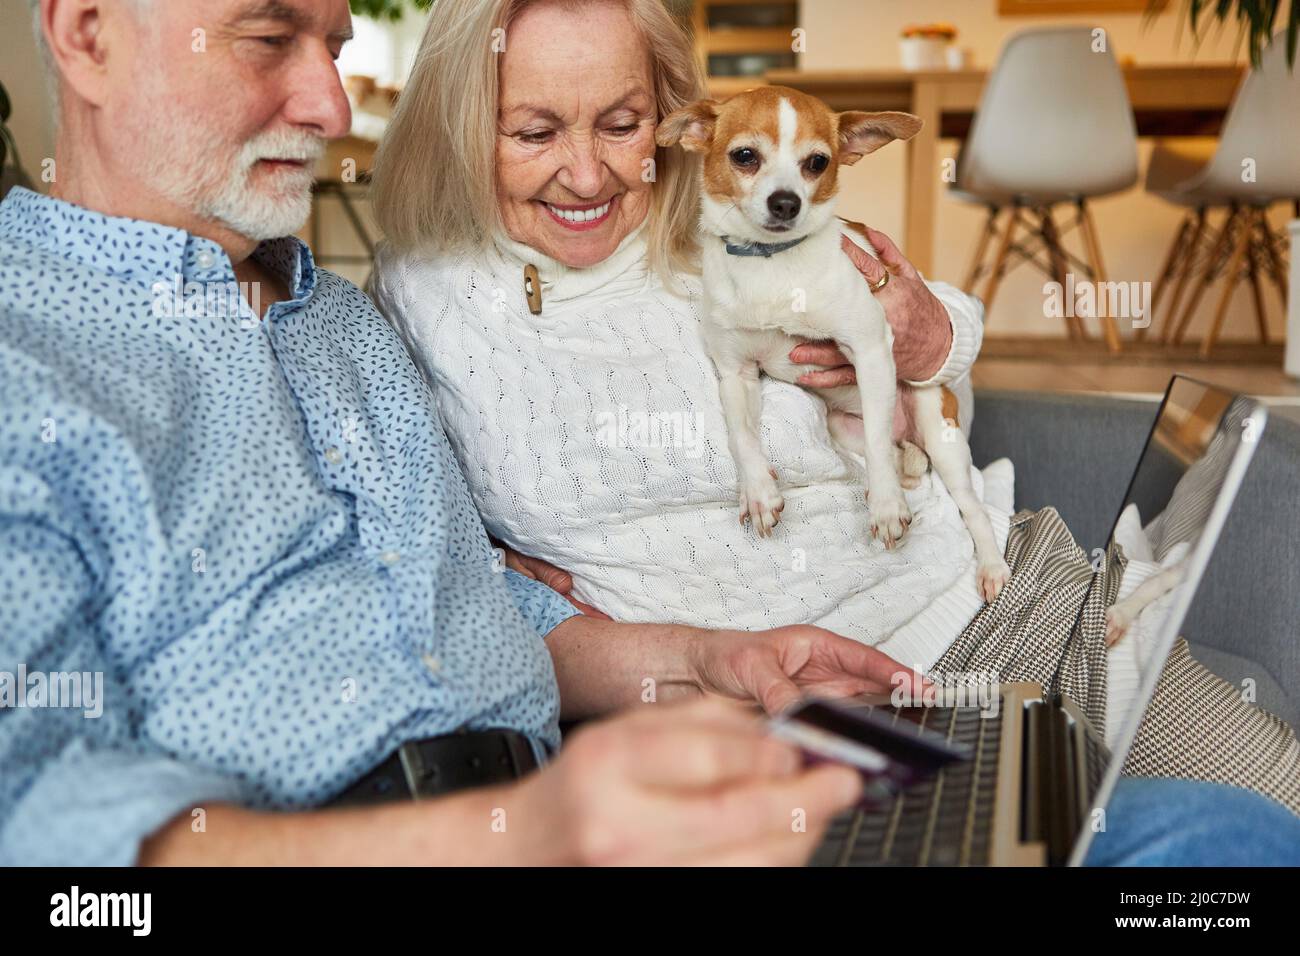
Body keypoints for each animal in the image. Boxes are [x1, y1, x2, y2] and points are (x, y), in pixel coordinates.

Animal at [655, 87, 1008, 598]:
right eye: (745, 156)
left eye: (817, 162)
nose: (786, 202)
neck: (770, 265)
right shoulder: (736, 375)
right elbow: (742, 435)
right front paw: (758, 492)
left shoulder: (871, 351)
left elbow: (878, 443)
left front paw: (886, 507)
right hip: (842, 427)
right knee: (896, 452)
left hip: (941, 434)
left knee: (969, 505)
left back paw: (991, 566)